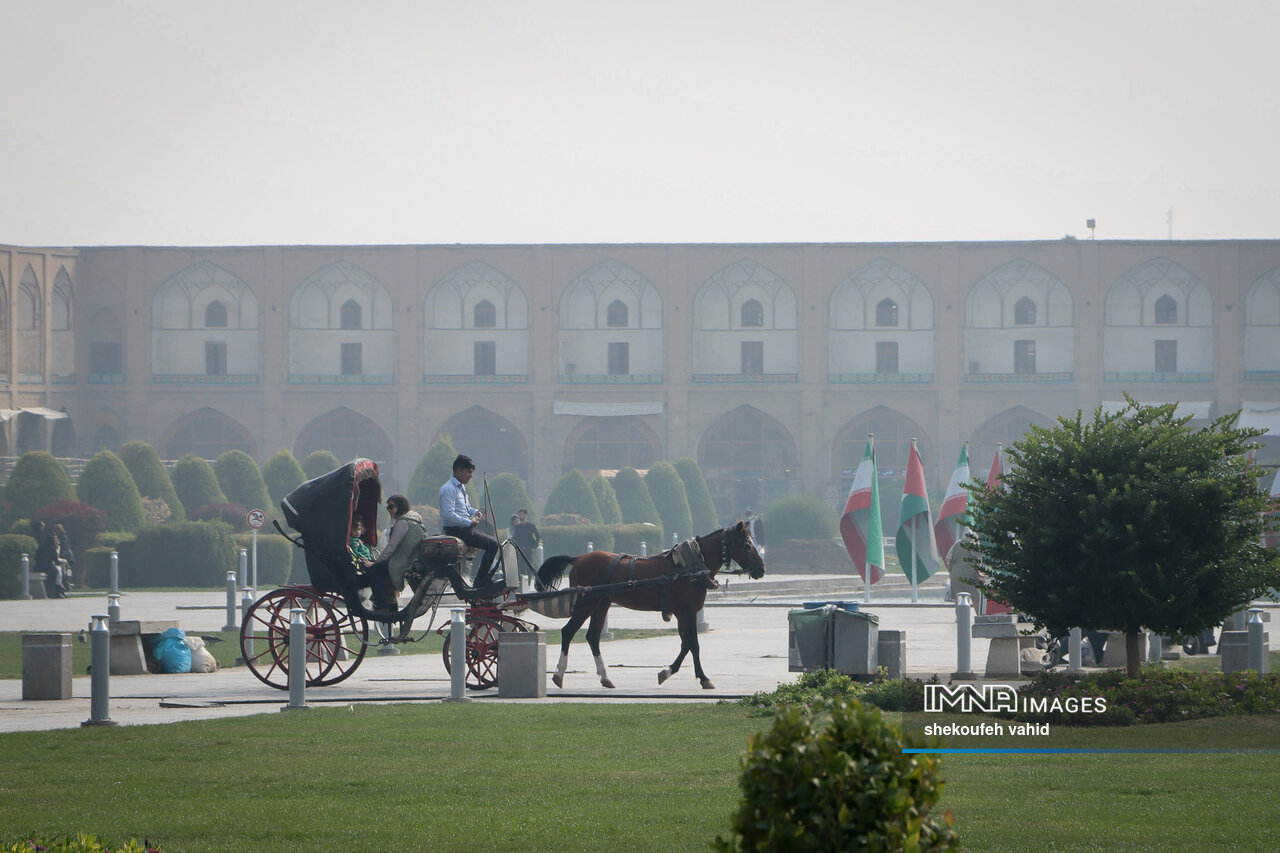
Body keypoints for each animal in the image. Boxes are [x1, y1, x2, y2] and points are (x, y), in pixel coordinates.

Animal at [535, 517, 762, 691]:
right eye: (747, 545)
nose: (761, 568)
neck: (691, 565)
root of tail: (578, 557)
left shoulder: (682, 614)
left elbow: (686, 644)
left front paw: (668, 671)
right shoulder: (687, 612)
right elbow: (693, 644)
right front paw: (702, 678)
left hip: (601, 602)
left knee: (592, 637)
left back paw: (605, 677)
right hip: (587, 601)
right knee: (568, 631)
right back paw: (559, 674)